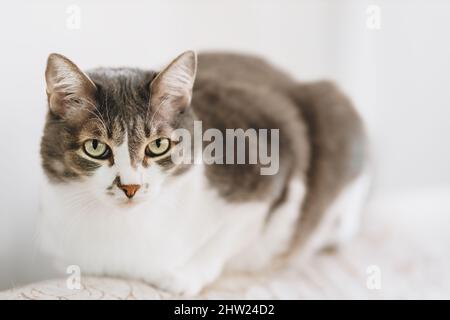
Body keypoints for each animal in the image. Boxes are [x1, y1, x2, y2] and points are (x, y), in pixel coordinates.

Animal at [38, 50, 370, 296]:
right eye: (95, 147)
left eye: (158, 145)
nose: (130, 187)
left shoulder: (271, 165)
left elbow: (229, 235)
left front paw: (183, 276)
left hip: (334, 108)